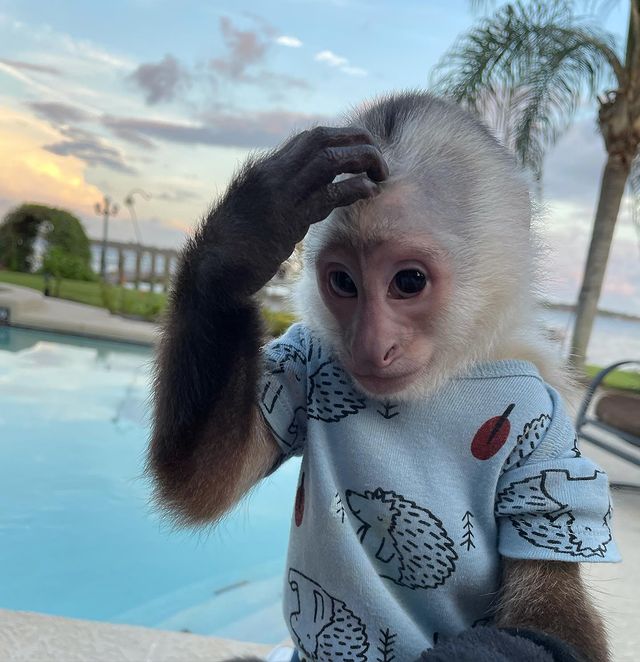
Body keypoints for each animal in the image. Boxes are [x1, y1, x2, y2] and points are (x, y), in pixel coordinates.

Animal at [148, 92, 619, 662]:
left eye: (409, 282)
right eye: (343, 283)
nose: (372, 345)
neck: (442, 380)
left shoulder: (547, 428)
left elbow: (555, 628)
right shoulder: (307, 356)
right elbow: (202, 479)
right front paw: (240, 242)